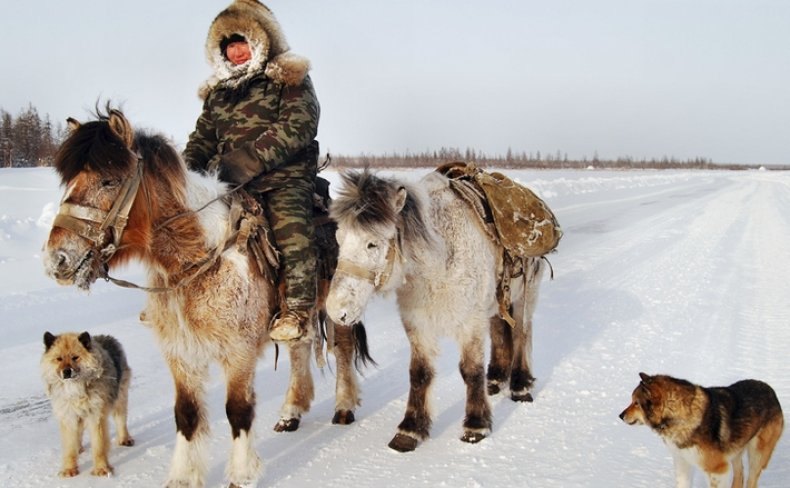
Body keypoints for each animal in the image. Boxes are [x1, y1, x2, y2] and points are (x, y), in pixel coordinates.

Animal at [40, 332, 134, 476]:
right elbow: (69, 447)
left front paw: (101, 468)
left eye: (75, 357)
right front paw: (69, 469)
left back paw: (125, 439)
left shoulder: (96, 416)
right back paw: (79, 448)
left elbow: (99, 445)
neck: (76, 388)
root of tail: (106, 336)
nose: (66, 371)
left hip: (120, 397)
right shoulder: (69, 416)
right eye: (59, 359)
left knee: (121, 420)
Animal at [326, 170, 544, 452]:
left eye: (371, 244)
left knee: (521, 334)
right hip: (496, 302)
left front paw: (476, 425)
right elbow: (419, 374)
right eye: (339, 239)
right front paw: (410, 430)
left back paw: (520, 385)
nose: (335, 309)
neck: (439, 259)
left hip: (526, 295)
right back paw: (496, 380)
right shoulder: (418, 325)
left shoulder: (470, 324)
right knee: (499, 331)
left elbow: (471, 371)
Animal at [624, 372, 784, 486]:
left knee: (751, 480)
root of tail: (771, 391)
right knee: (739, 476)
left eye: (636, 403)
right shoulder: (683, 463)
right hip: (735, 451)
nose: (621, 415)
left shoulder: (717, 471)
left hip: (757, 456)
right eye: (632, 401)